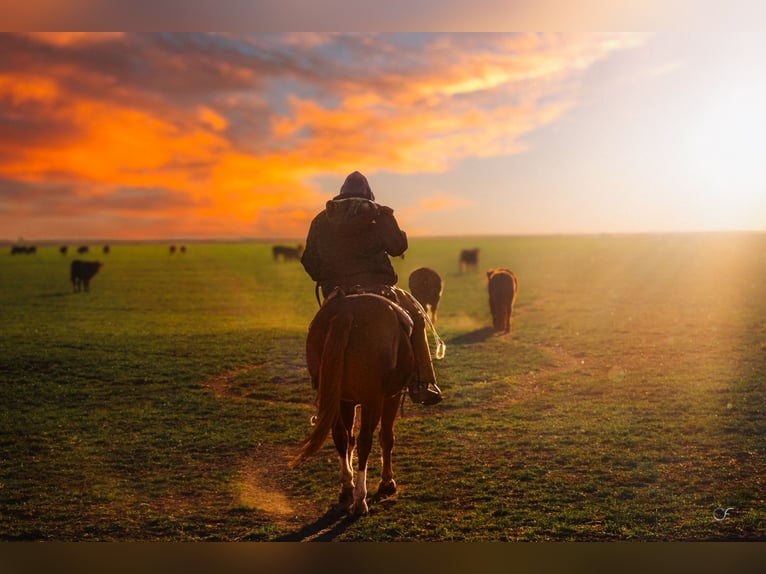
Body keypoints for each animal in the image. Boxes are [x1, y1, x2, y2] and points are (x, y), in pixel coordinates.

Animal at [292, 292, 414, 516]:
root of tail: (347, 311)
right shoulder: (389, 397)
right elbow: (386, 437)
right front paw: (387, 482)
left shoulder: (347, 402)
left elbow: (348, 439)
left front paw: (347, 481)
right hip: (372, 400)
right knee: (366, 440)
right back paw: (360, 500)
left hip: (338, 398)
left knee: (340, 436)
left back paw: (348, 488)